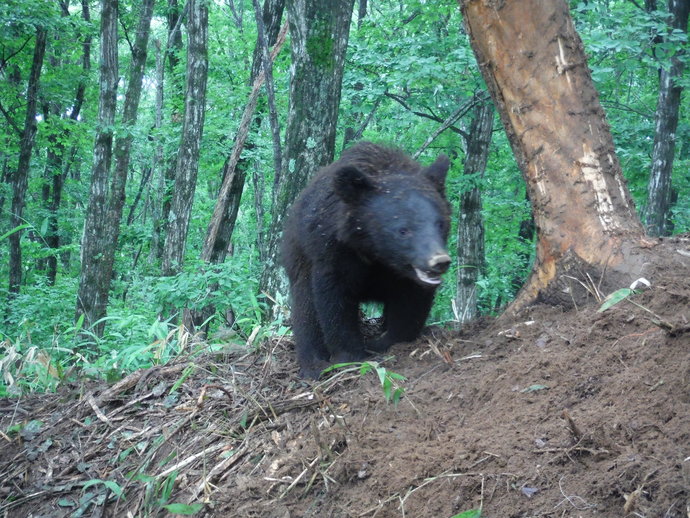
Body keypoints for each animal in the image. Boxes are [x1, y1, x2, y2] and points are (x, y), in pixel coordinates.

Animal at [280, 141, 452, 378]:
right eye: (403, 230)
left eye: (440, 223)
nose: (439, 261)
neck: (375, 251)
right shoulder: (333, 251)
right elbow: (334, 300)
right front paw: (350, 355)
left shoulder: (409, 278)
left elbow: (411, 305)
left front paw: (388, 342)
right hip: (299, 258)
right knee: (305, 307)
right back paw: (313, 364)